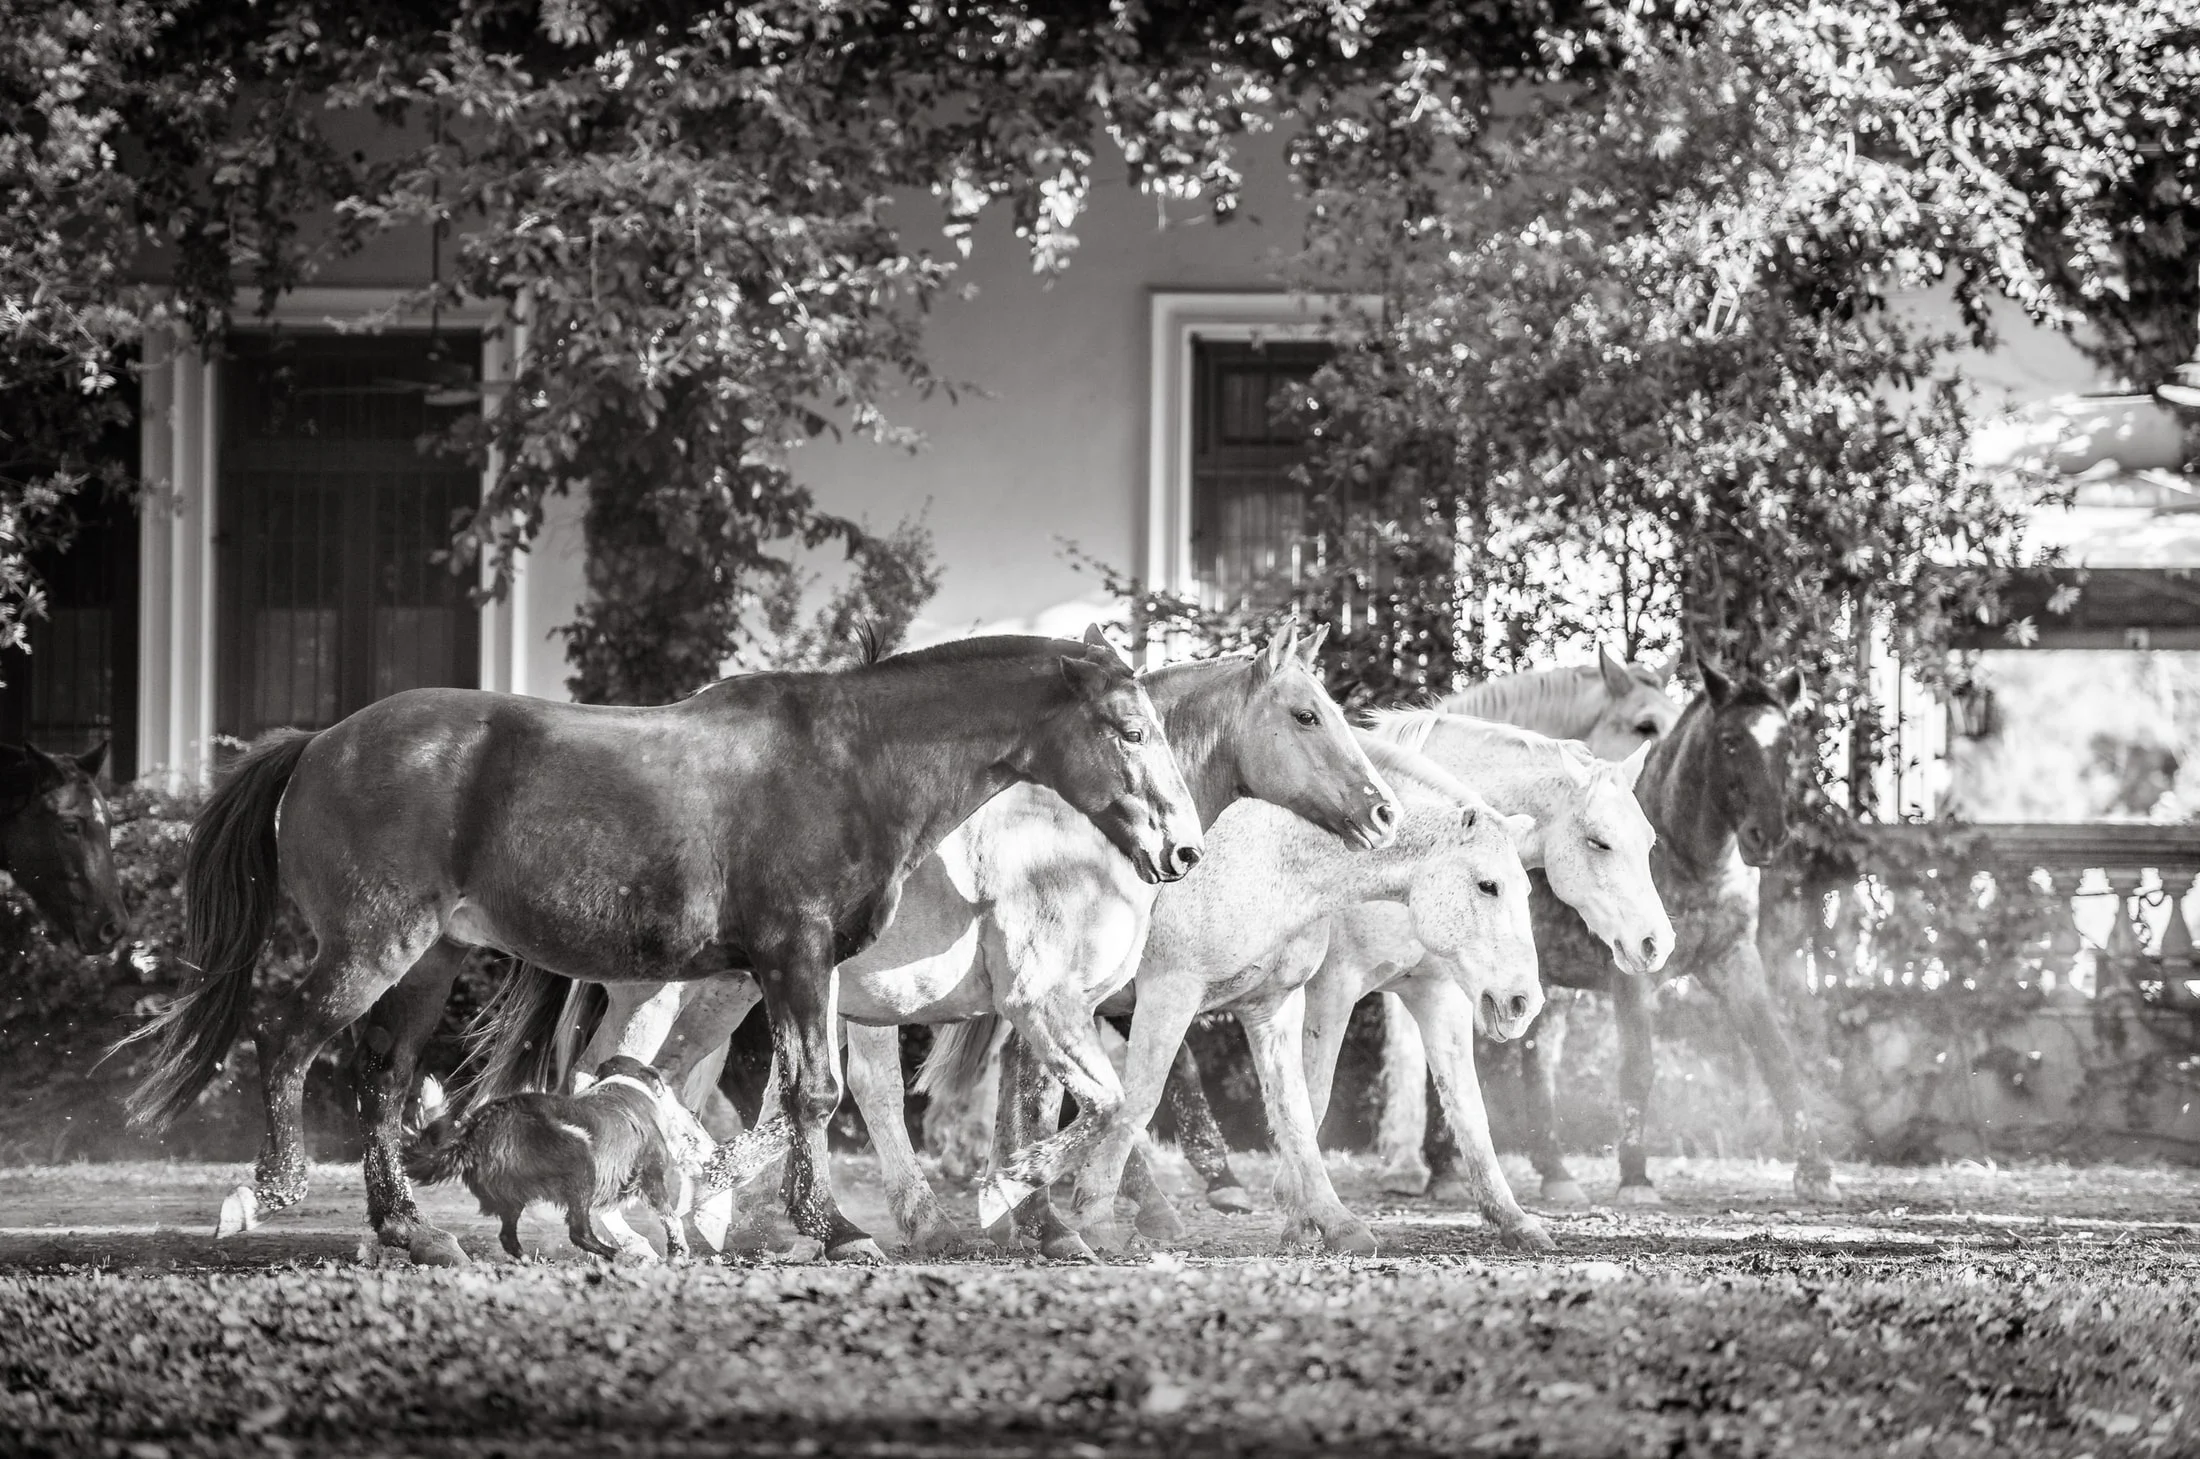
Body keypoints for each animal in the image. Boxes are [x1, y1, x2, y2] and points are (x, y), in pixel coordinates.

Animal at [120, 629, 1204, 1266]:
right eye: (1127, 727)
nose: (1181, 849)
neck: (849, 764)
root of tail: (317, 743)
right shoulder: (795, 955)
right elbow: (817, 1096)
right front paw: (839, 1230)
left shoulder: (793, 973)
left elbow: (794, 1098)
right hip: (373, 947)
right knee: (287, 1039)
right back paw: (270, 1190)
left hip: (428, 960)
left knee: (381, 1073)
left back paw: (412, 1231)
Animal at [489, 626, 1400, 1259]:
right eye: (1307, 713)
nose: (1384, 810)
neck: (1075, 828)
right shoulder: (1076, 1000)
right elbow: (1112, 1102)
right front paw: (1043, 1213)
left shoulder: (1065, 1008)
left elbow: (1047, 1107)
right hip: (692, 993)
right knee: (622, 1083)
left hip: (728, 995)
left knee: (665, 1085)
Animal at [943, 737, 1543, 1258]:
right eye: (1487, 885)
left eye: (1528, 887)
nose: (1524, 1002)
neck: (1270, 857)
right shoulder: (1183, 994)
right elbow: (1143, 1099)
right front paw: (1094, 1215)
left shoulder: (1309, 1001)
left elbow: (1313, 1109)